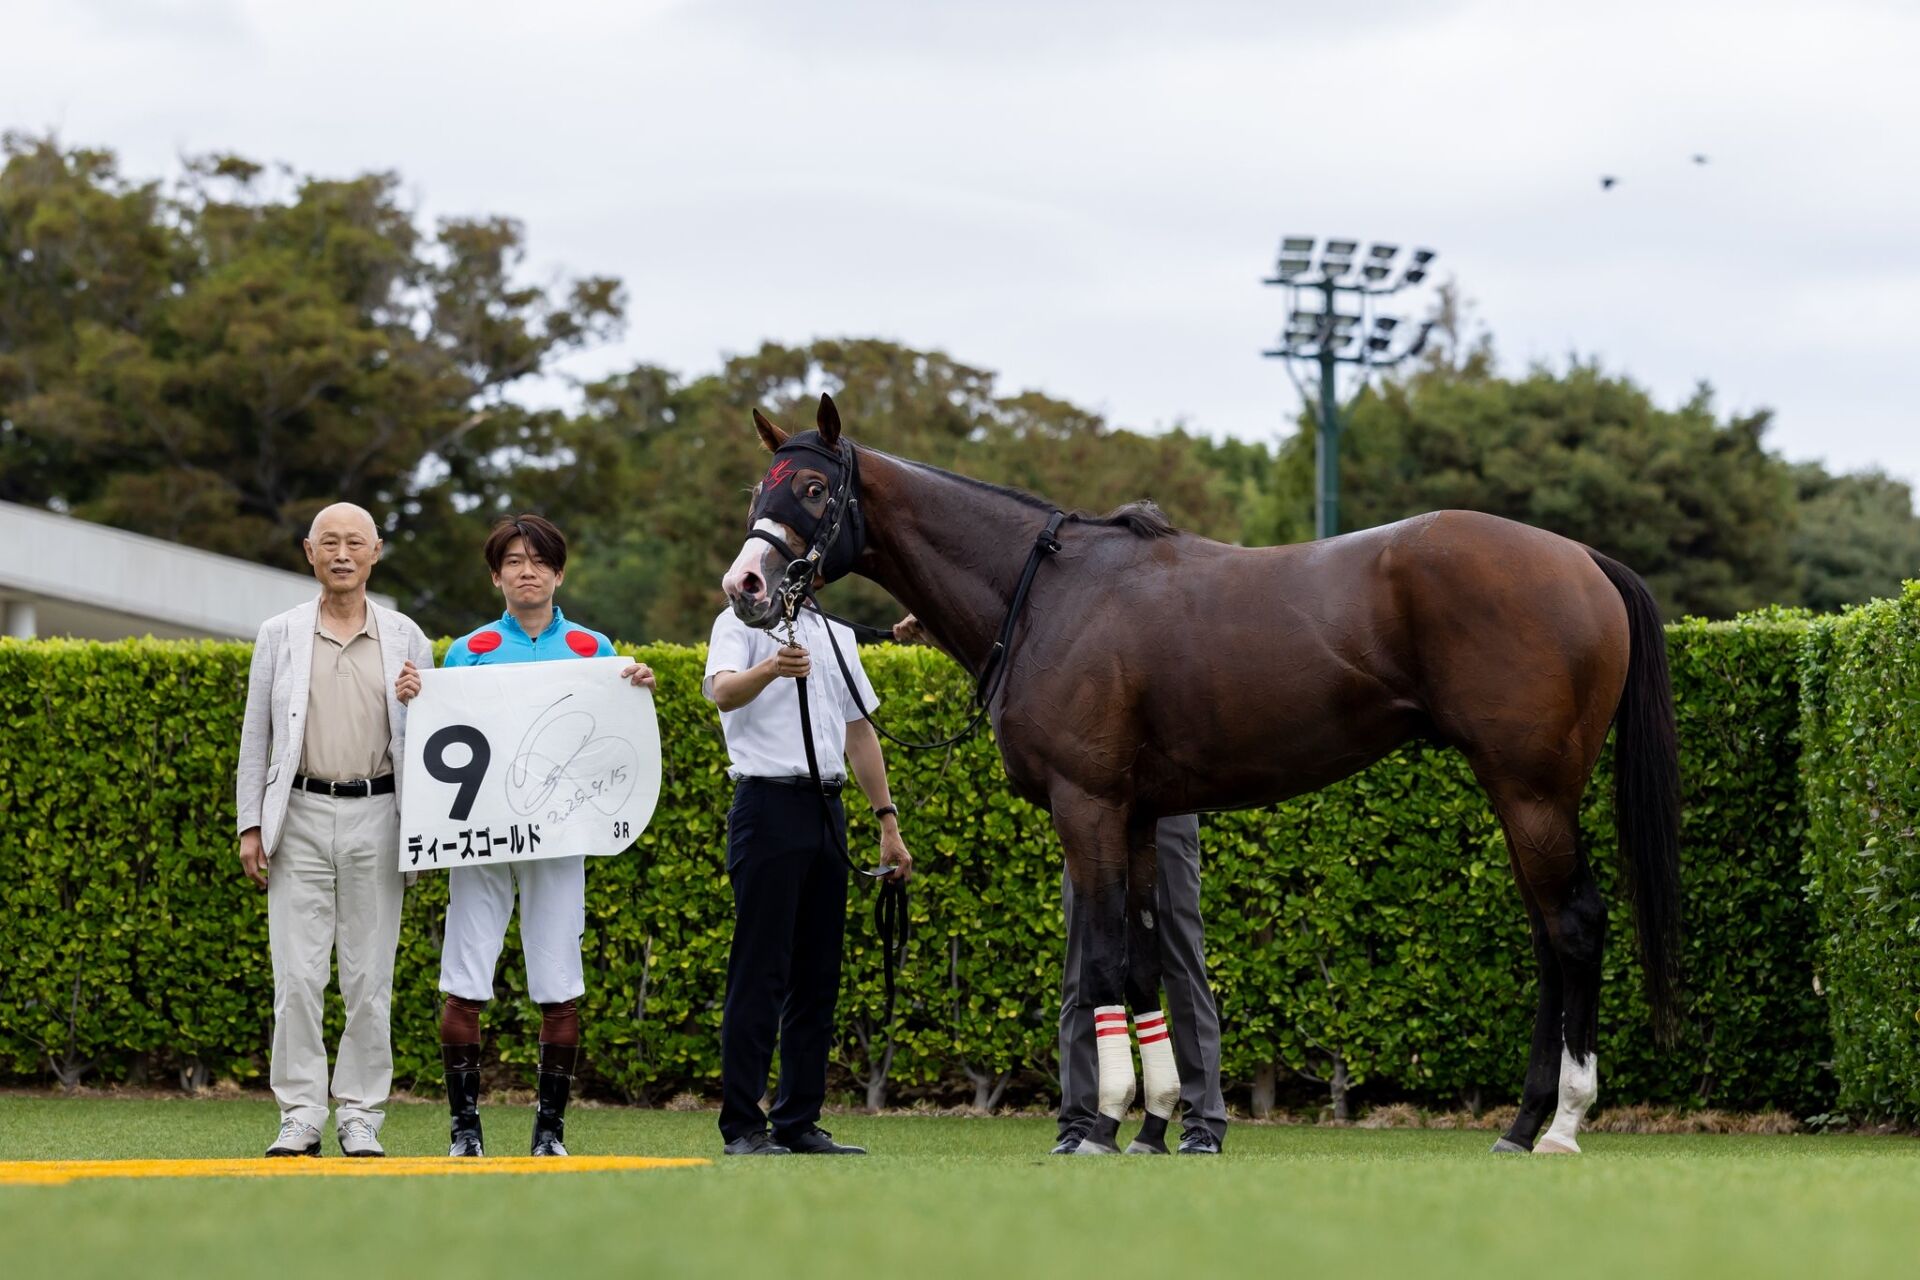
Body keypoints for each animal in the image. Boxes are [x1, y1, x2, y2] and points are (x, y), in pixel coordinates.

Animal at [720, 393, 1681, 1157]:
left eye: (813, 489)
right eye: (757, 490)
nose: (747, 586)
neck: (1047, 594)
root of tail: (1582, 559)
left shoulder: (1089, 808)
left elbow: (1107, 961)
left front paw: (1103, 1124)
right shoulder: (1140, 815)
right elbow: (1147, 968)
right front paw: (1154, 1125)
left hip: (1532, 790)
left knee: (1575, 927)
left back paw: (1563, 1125)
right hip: (1524, 796)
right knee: (1548, 937)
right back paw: (1520, 1125)